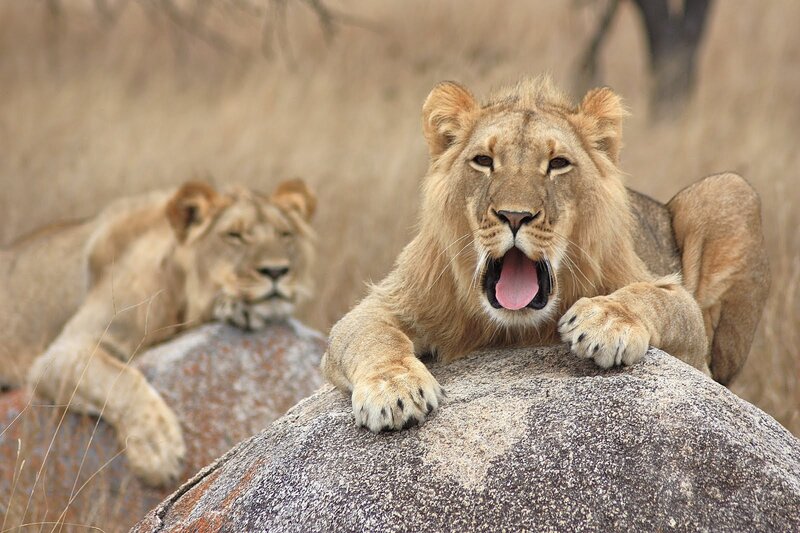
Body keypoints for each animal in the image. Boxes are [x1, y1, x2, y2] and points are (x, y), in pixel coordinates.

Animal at [0, 178, 316, 485]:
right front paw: (158, 450)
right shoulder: (65, 348)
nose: (276, 271)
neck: (180, 294)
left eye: (285, 234)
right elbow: (120, 379)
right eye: (234, 236)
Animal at [321, 76, 769, 432]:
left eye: (557, 164)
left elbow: (652, 298)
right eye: (483, 161)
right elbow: (370, 335)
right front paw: (393, 390)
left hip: (731, 190)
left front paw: (605, 321)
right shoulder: (385, 302)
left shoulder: (691, 342)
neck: (514, 329)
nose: (514, 216)